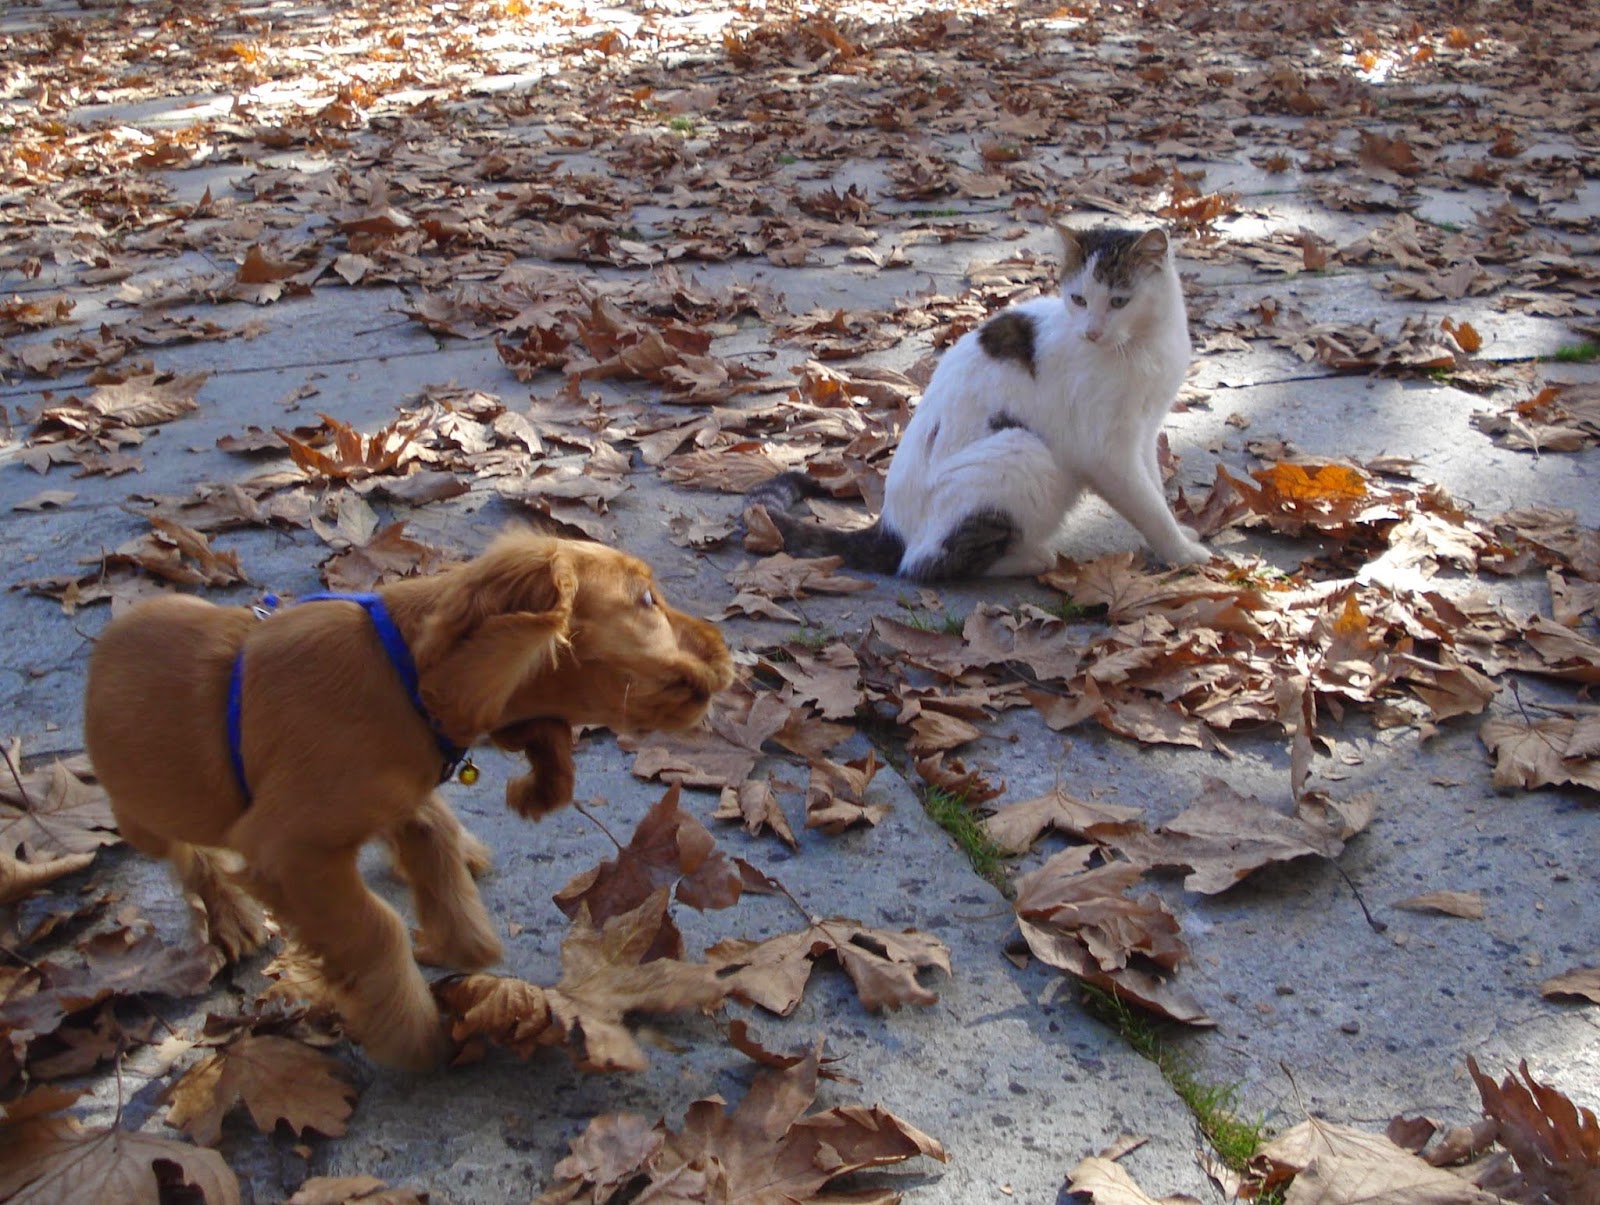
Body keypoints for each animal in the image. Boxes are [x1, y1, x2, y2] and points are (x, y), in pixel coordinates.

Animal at [82, 531, 732, 1068]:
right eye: (646, 600)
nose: (728, 649)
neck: (402, 680)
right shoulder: (288, 851)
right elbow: (377, 928)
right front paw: (412, 1031)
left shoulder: (398, 800)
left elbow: (437, 850)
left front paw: (455, 943)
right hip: (144, 815)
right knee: (187, 852)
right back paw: (233, 914)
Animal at [748, 227, 1209, 585]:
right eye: (1078, 299)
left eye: (1118, 301)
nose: (1091, 332)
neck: (1141, 346)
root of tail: (889, 526)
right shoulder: (1104, 450)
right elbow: (1145, 504)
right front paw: (1182, 553)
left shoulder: (1142, 431)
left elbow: (1153, 487)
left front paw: (1177, 535)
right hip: (1022, 451)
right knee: (925, 564)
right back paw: (1031, 558)